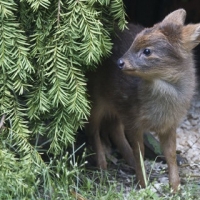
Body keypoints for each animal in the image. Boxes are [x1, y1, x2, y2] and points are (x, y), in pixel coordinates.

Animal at [85, 9, 200, 192]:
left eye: (147, 51)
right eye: (133, 43)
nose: (120, 62)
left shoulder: (169, 124)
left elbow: (171, 154)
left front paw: (175, 187)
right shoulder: (134, 121)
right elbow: (140, 153)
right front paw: (143, 184)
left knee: (113, 128)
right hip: (96, 99)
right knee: (93, 130)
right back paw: (102, 166)